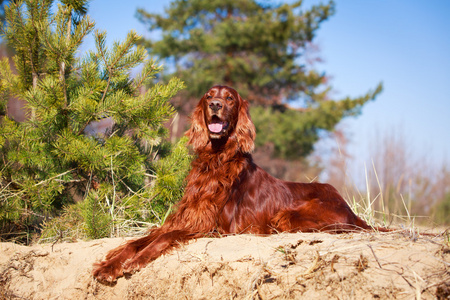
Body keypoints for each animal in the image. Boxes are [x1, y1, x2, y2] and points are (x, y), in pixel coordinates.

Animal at [91, 85, 376, 282]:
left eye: (229, 98)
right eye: (208, 96)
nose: (215, 104)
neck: (216, 160)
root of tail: (350, 210)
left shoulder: (212, 225)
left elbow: (164, 238)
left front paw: (135, 262)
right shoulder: (185, 217)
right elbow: (141, 239)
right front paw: (110, 264)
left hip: (285, 217)